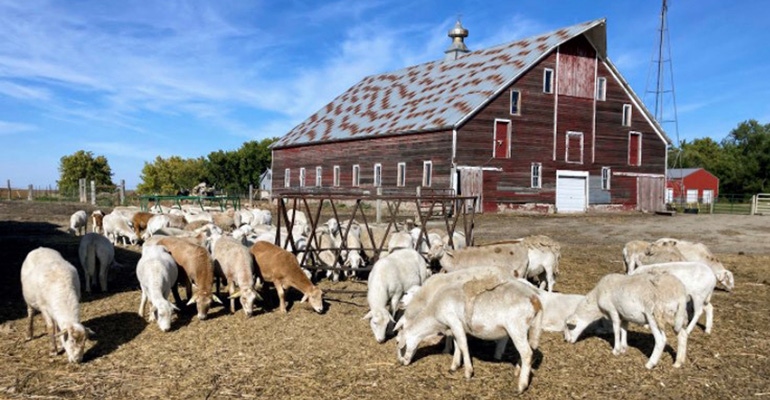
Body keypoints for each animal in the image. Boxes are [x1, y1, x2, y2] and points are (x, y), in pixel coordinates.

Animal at [396, 272, 540, 394]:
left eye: (398, 343)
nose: (401, 363)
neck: (434, 313)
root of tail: (534, 298)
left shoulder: (454, 321)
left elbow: (463, 345)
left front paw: (468, 372)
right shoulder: (455, 326)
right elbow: (457, 345)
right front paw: (454, 366)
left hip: (516, 327)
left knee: (527, 353)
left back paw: (521, 386)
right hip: (527, 328)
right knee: (527, 351)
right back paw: (518, 371)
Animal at [560, 272, 688, 368]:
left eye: (569, 327)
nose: (567, 340)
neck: (596, 299)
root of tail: (680, 292)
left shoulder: (612, 310)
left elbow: (616, 329)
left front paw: (616, 350)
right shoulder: (624, 314)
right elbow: (624, 329)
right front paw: (623, 347)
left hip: (654, 315)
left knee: (661, 340)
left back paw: (650, 364)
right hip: (675, 315)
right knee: (682, 335)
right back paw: (678, 362)